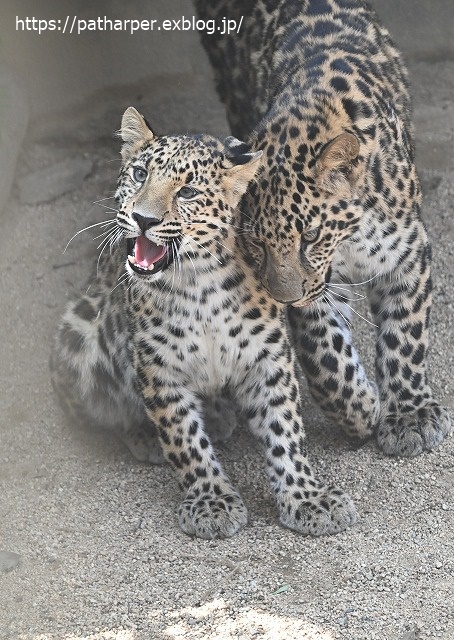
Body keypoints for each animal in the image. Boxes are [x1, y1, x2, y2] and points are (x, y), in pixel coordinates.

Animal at [194, 0, 450, 456]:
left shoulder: (409, 252)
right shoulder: (318, 287)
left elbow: (404, 336)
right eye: (257, 242)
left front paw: (411, 418)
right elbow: (324, 354)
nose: (284, 299)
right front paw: (360, 410)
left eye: (310, 236)